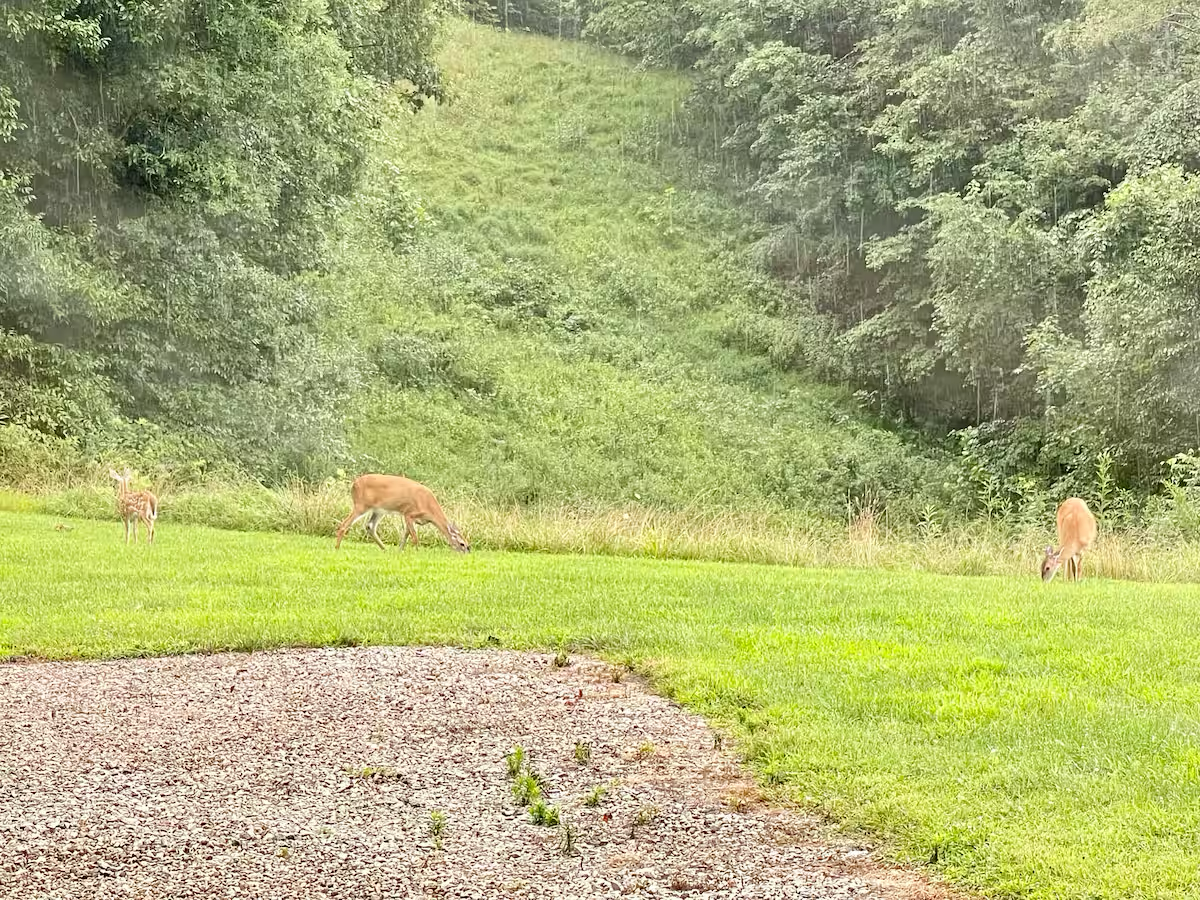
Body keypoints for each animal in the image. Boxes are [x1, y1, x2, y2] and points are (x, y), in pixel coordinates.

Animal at [334, 474, 470, 553]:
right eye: (462, 544)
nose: (468, 551)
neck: (429, 509)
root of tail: (354, 484)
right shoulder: (409, 513)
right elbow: (414, 536)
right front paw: (417, 551)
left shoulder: (410, 517)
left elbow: (406, 534)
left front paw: (400, 550)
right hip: (361, 505)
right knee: (344, 524)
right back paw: (337, 548)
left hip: (378, 510)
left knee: (370, 526)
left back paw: (385, 549)